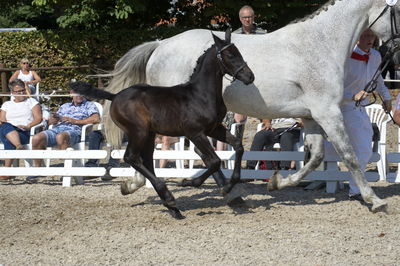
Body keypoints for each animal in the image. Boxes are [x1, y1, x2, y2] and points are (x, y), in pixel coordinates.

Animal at [70, 30, 255, 219]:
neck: (200, 94)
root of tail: (114, 96)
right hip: (139, 132)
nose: (250, 76)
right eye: (230, 55)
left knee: (147, 161)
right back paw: (169, 198)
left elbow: (238, 146)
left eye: (238, 52)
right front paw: (190, 182)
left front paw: (229, 186)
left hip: (149, 135)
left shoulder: (214, 129)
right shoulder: (194, 133)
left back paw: (172, 206)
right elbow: (215, 161)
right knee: (131, 157)